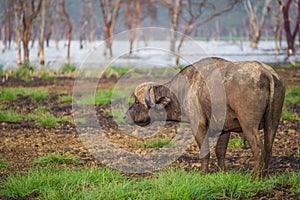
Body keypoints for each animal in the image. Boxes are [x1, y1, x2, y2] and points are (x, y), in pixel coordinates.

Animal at [125, 56, 286, 177]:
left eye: (137, 102)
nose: (125, 116)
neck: (184, 89)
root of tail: (266, 73)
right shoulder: (225, 129)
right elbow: (220, 151)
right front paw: (223, 173)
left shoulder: (198, 125)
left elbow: (204, 151)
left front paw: (203, 173)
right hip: (273, 122)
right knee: (268, 148)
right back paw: (264, 176)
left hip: (248, 125)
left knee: (258, 149)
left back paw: (255, 177)